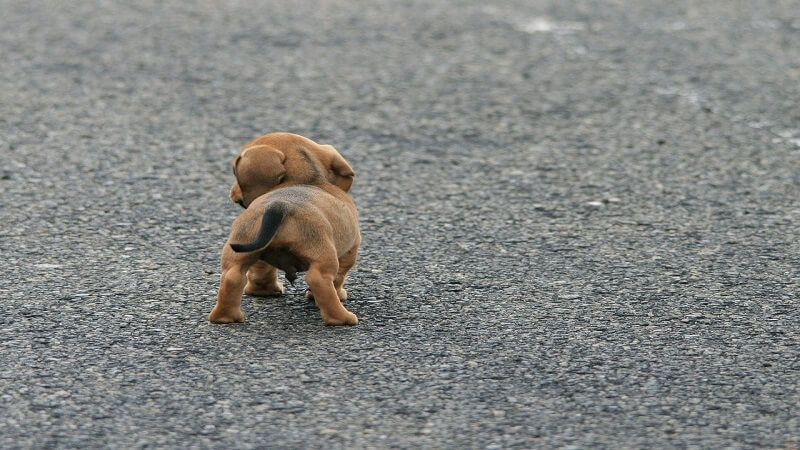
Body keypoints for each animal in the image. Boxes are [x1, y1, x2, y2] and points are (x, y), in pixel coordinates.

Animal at [212, 133, 362, 324]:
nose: (231, 193)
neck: (305, 180)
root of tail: (279, 205)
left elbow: (262, 271)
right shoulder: (351, 249)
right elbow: (339, 277)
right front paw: (338, 294)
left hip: (240, 247)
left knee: (232, 277)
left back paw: (225, 317)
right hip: (324, 255)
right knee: (319, 279)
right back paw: (342, 318)